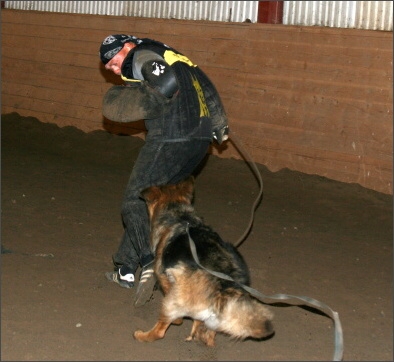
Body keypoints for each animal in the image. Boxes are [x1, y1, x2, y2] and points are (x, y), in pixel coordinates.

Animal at [133, 177, 274, 346]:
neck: (180, 215)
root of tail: (221, 287)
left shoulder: (163, 276)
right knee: (208, 334)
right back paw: (200, 336)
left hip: (172, 302)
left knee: (161, 331)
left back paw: (142, 335)